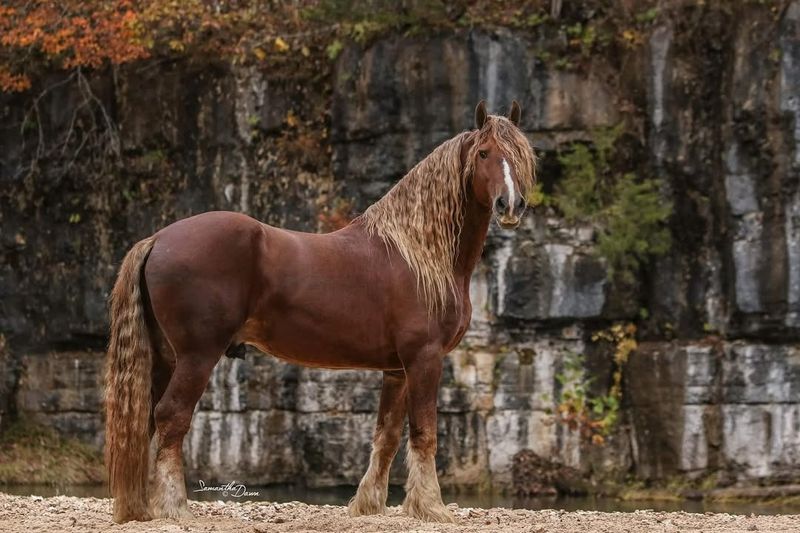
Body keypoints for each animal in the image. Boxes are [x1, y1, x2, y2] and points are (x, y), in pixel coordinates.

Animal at [101, 100, 536, 524]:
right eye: (484, 153)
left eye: (521, 153)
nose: (510, 205)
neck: (417, 254)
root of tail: (158, 239)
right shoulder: (424, 359)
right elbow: (424, 432)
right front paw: (430, 507)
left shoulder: (396, 370)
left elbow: (387, 435)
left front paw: (368, 505)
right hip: (197, 356)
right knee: (171, 416)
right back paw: (174, 508)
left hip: (165, 358)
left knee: (146, 419)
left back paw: (143, 508)